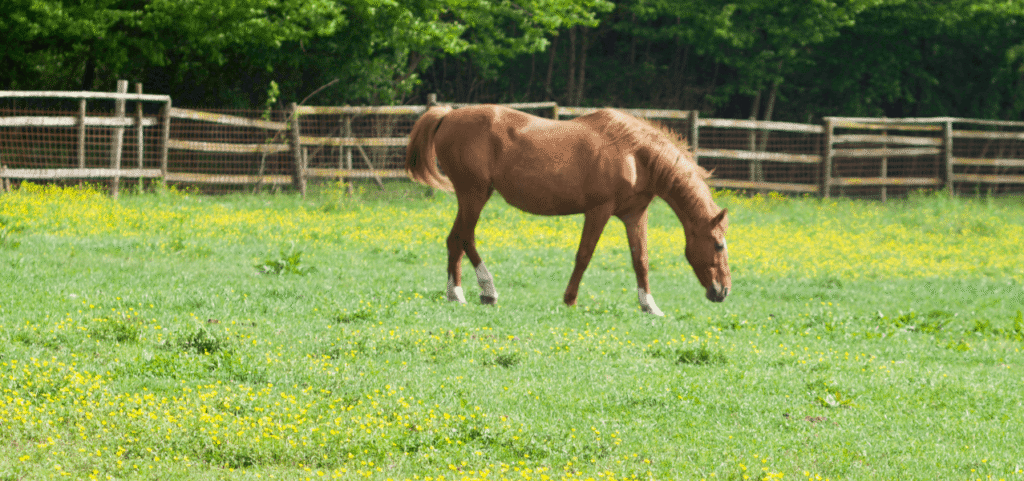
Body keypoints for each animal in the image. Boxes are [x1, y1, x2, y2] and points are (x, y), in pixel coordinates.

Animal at [404, 104, 730, 316]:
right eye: (718, 244)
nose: (723, 291)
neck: (634, 153)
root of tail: (449, 114)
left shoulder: (634, 215)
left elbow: (641, 260)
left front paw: (649, 305)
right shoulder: (598, 211)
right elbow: (584, 256)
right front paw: (570, 299)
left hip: (471, 196)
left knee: (456, 240)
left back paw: (458, 293)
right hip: (474, 194)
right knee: (464, 238)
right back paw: (482, 291)